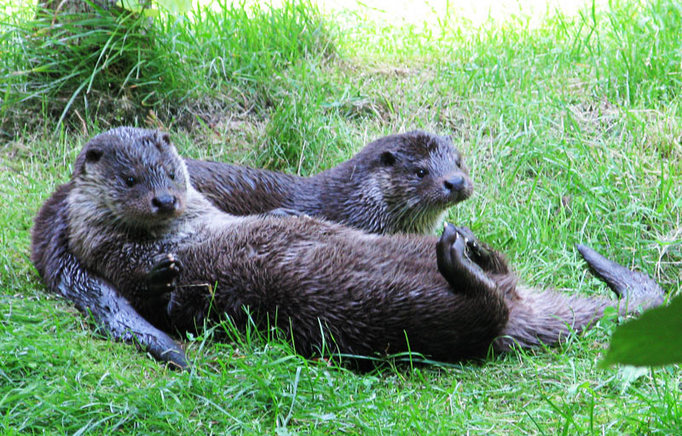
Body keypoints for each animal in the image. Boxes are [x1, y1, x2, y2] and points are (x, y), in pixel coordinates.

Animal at [56, 128, 663, 364]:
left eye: (459, 161)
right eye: (421, 171)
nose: (456, 184)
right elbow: (142, 276)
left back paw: (466, 243)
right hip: (411, 314)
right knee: (484, 308)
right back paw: (458, 256)